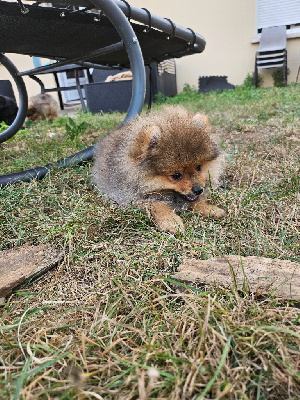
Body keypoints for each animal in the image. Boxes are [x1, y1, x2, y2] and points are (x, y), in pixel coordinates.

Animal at [92, 104, 224, 233]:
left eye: (198, 167)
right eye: (176, 175)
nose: (198, 189)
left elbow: (197, 200)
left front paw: (209, 209)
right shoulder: (133, 199)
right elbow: (159, 205)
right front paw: (170, 221)